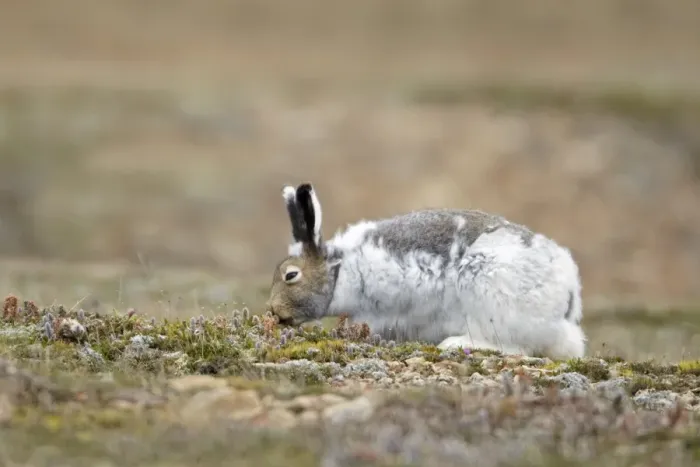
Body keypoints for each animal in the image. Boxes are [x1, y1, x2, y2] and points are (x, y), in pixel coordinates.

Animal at [265, 182, 586, 360]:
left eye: (290, 275)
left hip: (490, 294)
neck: (339, 271)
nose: (273, 311)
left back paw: (455, 344)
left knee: (516, 347)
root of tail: (567, 294)